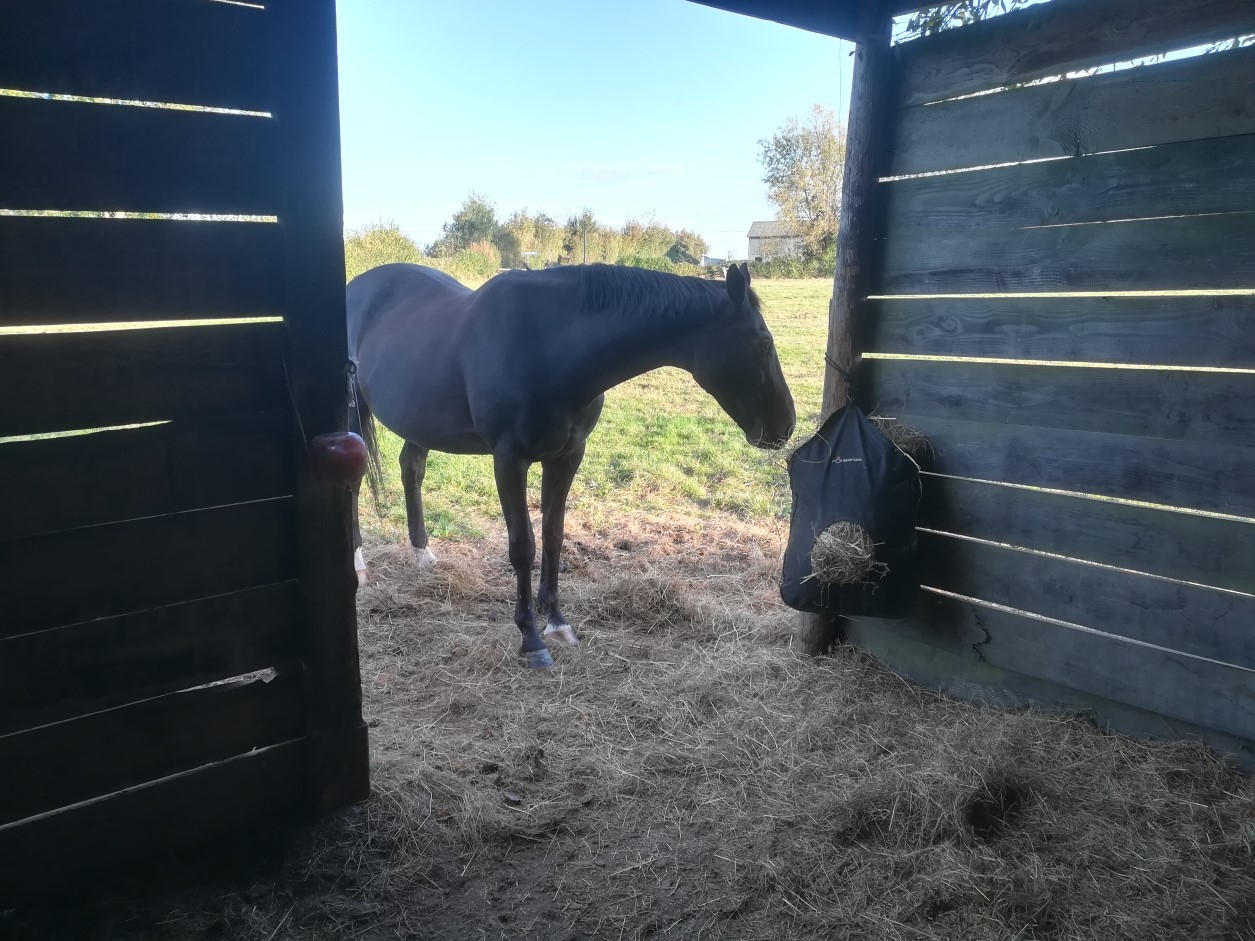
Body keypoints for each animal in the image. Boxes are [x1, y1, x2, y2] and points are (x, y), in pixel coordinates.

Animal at [347, 261, 795, 669]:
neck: (550, 345)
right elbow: (523, 546)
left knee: (412, 469)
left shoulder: (566, 457)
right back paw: (358, 565)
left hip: (418, 421)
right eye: (763, 343)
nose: (785, 427)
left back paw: (422, 553)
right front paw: (530, 637)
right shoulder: (509, 460)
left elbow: (554, 534)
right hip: (351, 413)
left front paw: (557, 622)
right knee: (353, 482)